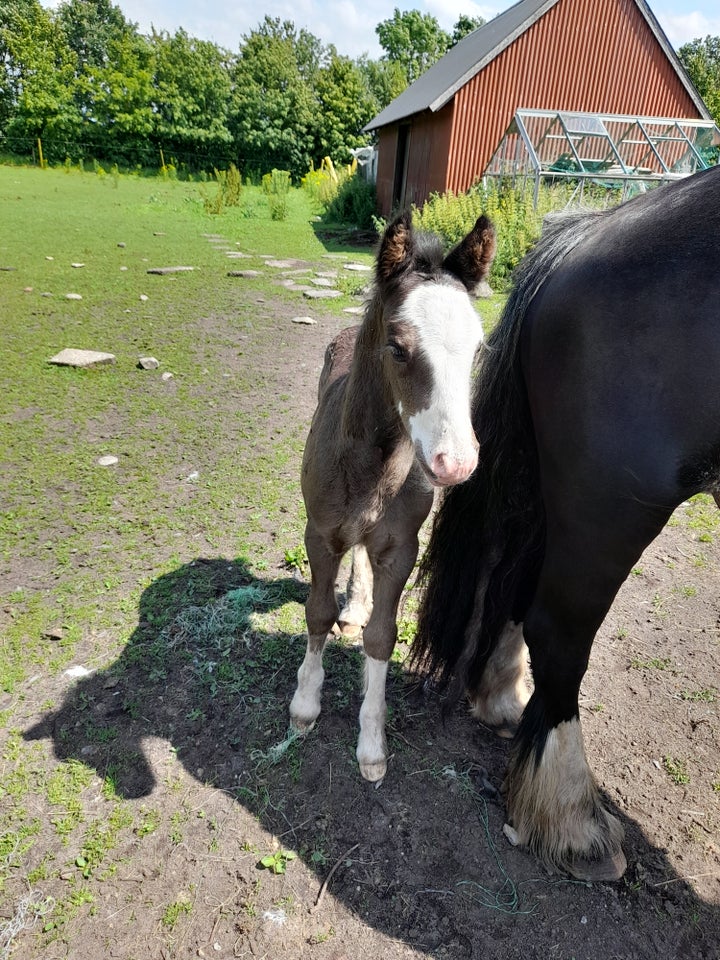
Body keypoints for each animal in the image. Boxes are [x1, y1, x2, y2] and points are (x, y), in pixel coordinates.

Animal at [286, 210, 496, 780]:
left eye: (477, 349)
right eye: (398, 348)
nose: (456, 463)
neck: (371, 465)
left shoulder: (402, 548)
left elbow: (382, 636)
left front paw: (372, 745)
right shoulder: (319, 534)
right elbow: (316, 612)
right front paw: (304, 706)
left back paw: (357, 604)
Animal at [414, 161, 720, 880]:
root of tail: (581, 237)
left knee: (517, 586)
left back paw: (501, 701)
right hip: (609, 504)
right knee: (557, 628)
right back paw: (573, 819)